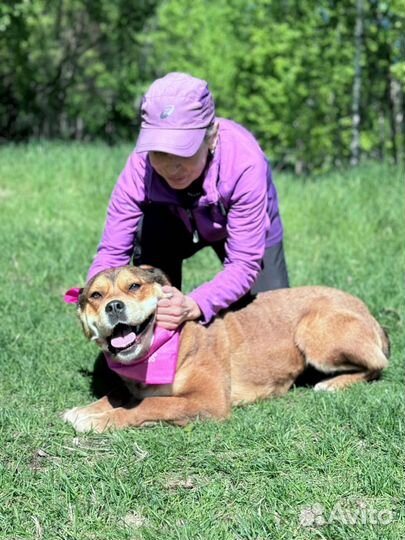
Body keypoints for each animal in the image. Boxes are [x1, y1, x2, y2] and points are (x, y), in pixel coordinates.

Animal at [63, 264, 388, 432]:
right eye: (96, 295)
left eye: (134, 286)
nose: (113, 306)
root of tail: (368, 312)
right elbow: (117, 395)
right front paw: (85, 410)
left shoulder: (209, 400)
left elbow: (152, 405)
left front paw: (100, 420)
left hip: (314, 331)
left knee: (378, 365)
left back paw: (333, 384)